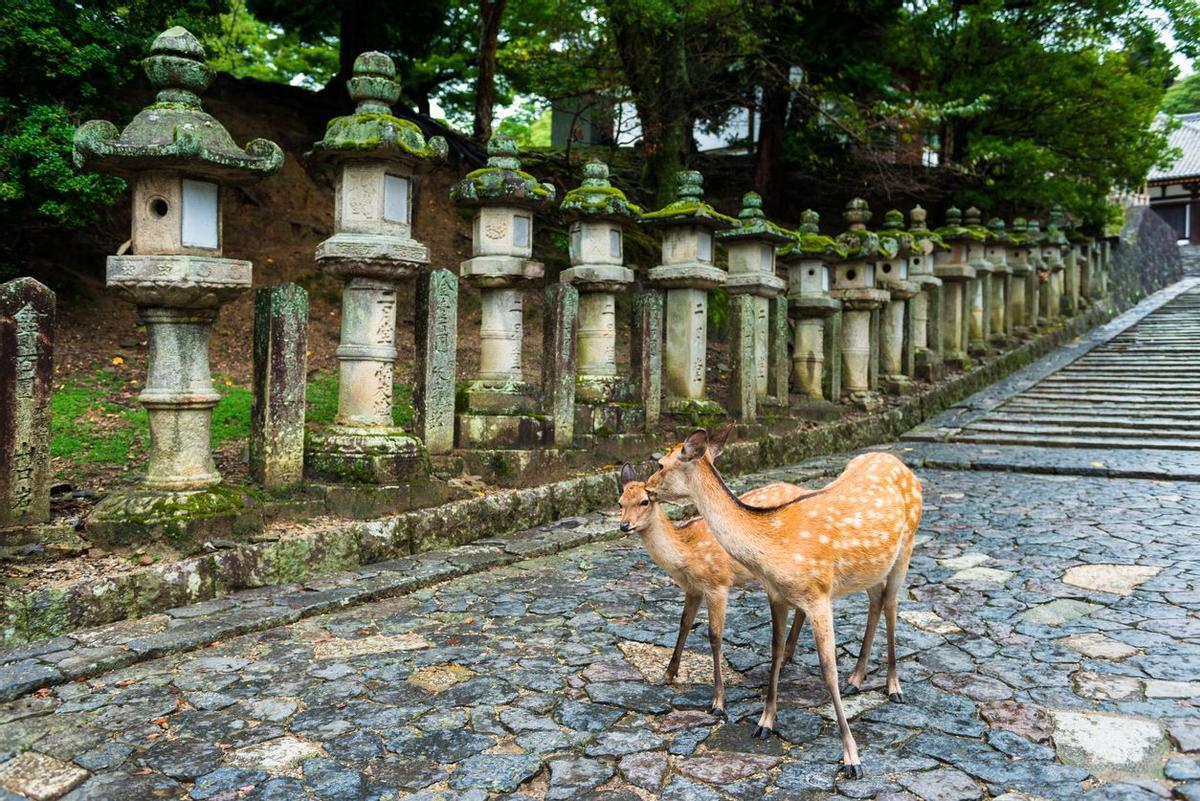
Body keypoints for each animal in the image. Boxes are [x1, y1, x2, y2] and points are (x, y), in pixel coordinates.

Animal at [619, 460, 806, 714]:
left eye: (644, 501)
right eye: (619, 502)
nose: (624, 525)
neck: (686, 553)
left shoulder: (718, 584)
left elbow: (715, 636)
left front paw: (718, 701)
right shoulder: (692, 588)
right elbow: (684, 624)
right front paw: (667, 675)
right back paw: (786, 657)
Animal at [648, 429, 916, 777]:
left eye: (663, 464)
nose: (647, 489)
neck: (773, 549)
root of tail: (902, 465)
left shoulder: (818, 594)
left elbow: (828, 669)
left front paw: (852, 758)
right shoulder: (776, 593)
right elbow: (775, 652)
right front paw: (765, 722)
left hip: (906, 547)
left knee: (892, 604)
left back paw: (893, 686)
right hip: (870, 569)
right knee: (876, 601)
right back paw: (856, 679)